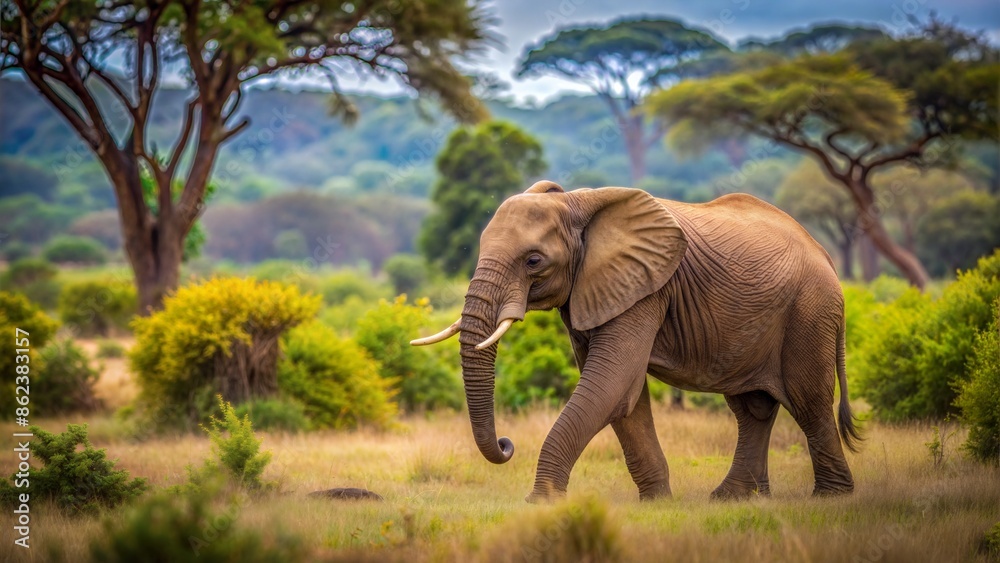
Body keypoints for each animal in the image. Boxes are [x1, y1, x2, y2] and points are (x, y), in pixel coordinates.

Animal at [412, 180, 861, 502]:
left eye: (534, 261)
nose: (507, 445)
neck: (575, 203)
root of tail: (826, 255)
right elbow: (624, 397)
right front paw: (658, 502)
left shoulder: (646, 290)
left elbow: (609, 386)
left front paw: (542, 502)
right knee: (753, 408)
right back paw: (734, 498)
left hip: (809, 310)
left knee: (808, 400)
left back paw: (830, 498)